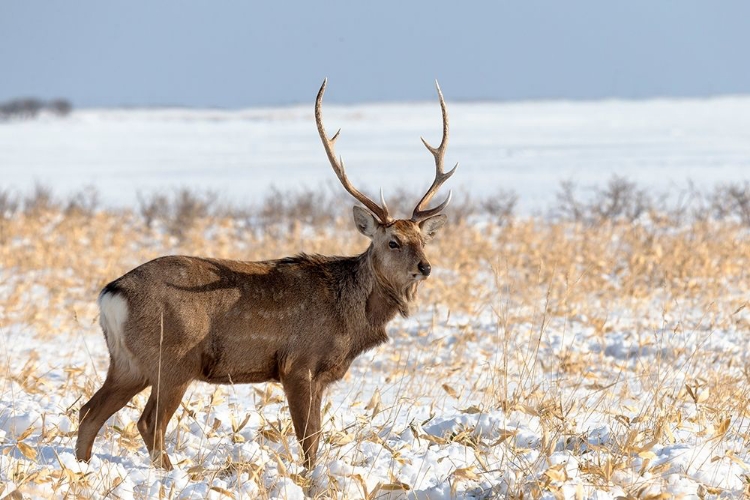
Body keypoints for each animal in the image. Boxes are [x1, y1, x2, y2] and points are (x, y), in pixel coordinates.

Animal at [79, 79, 462, 468]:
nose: (425, 267)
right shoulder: (297, 363)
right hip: (173, 358)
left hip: (128, 362)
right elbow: (308, 439)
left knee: (89, 411)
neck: (351, 318)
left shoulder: (321, 375)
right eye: (393, 242)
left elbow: (316, 436)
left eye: (423, 241)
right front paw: (310, 477)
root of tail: (112, 294)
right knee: (148, 422)